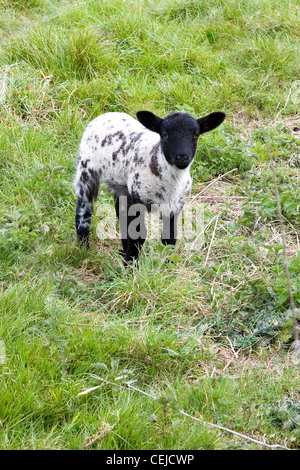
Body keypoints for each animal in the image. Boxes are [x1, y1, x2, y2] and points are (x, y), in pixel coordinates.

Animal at [74, 111, 225, 262]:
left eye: (196, 134)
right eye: (164, 134)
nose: (182, 157)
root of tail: (107, 114)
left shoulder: (175, 205)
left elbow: (169, 236)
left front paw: (169, 263)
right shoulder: (136, 199)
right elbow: (138, 234)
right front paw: (131, 263)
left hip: (122, 185)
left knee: (120, 212)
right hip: (86, 170)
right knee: (84, 209)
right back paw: (83, 249)